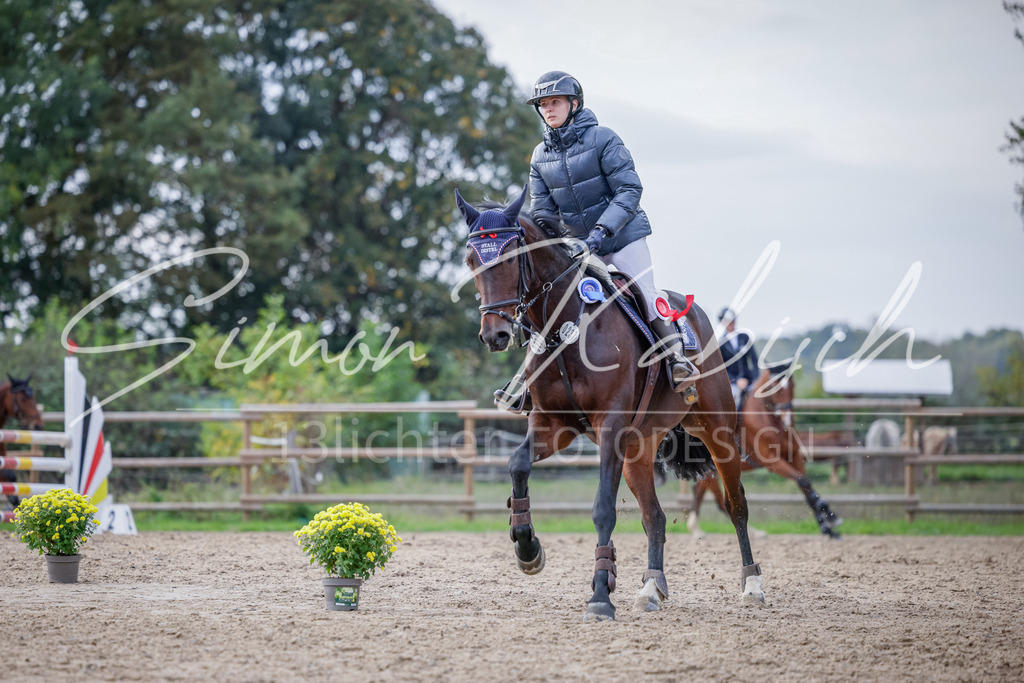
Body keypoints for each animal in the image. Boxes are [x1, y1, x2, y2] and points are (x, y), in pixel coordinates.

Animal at [1, 374, 45, 508]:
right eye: (22, 399)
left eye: (33, 397)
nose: (38, 425)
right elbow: (9, 475)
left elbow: (11, 479)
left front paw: (14, 501)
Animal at [456, 187, 765, 621]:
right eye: (471, 260)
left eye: (513, 256)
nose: (494, 334)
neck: (567, 329)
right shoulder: (554, 425)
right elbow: (517, 464)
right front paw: (527, 547)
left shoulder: (610, 429)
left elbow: (603, 507)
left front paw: (601, 595)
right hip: (638, 447)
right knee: (654, 517)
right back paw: (650, 588)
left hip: (716, 433)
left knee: (737, 505)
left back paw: (752, 585)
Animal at [684, 362, 843, 538]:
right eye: (773, 386)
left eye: (793, 385)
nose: (787, 420)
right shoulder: (772, 462)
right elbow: (802, 481)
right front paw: (829, 516)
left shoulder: (794, 456)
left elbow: (806, 486)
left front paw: (828, 526)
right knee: (719, 500)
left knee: (701, 491)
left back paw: (698, 529)